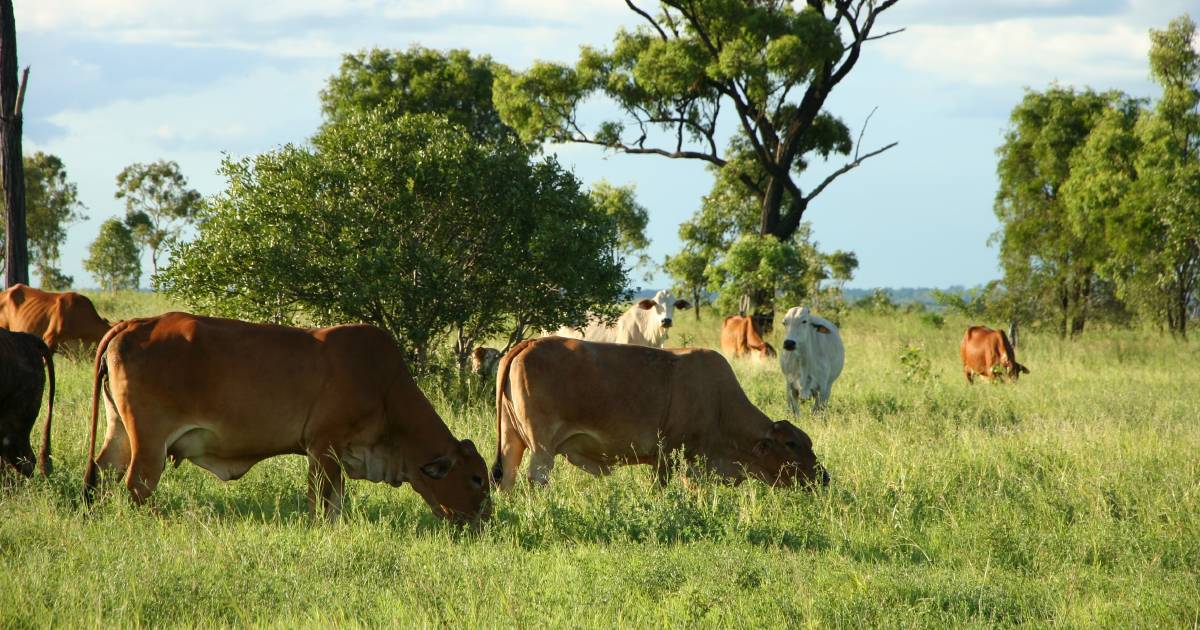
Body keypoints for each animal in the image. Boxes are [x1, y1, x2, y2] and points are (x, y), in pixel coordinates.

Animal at [84, 312, 489, 523]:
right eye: (476, 479)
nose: (484, 520)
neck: (385, 388)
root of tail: (134, 324)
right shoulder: (323, 447)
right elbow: (320, 501)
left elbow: (335, 503)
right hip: (149, 440)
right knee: (138, 484)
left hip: (119, 431)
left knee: (101, 473)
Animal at [487, 336, 825, 489]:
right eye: (792, 444)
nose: (824, 477)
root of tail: (528, 343)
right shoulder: (671, 458)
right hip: (541, 448)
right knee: (536, 478)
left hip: (512, 441)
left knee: (507, 479)